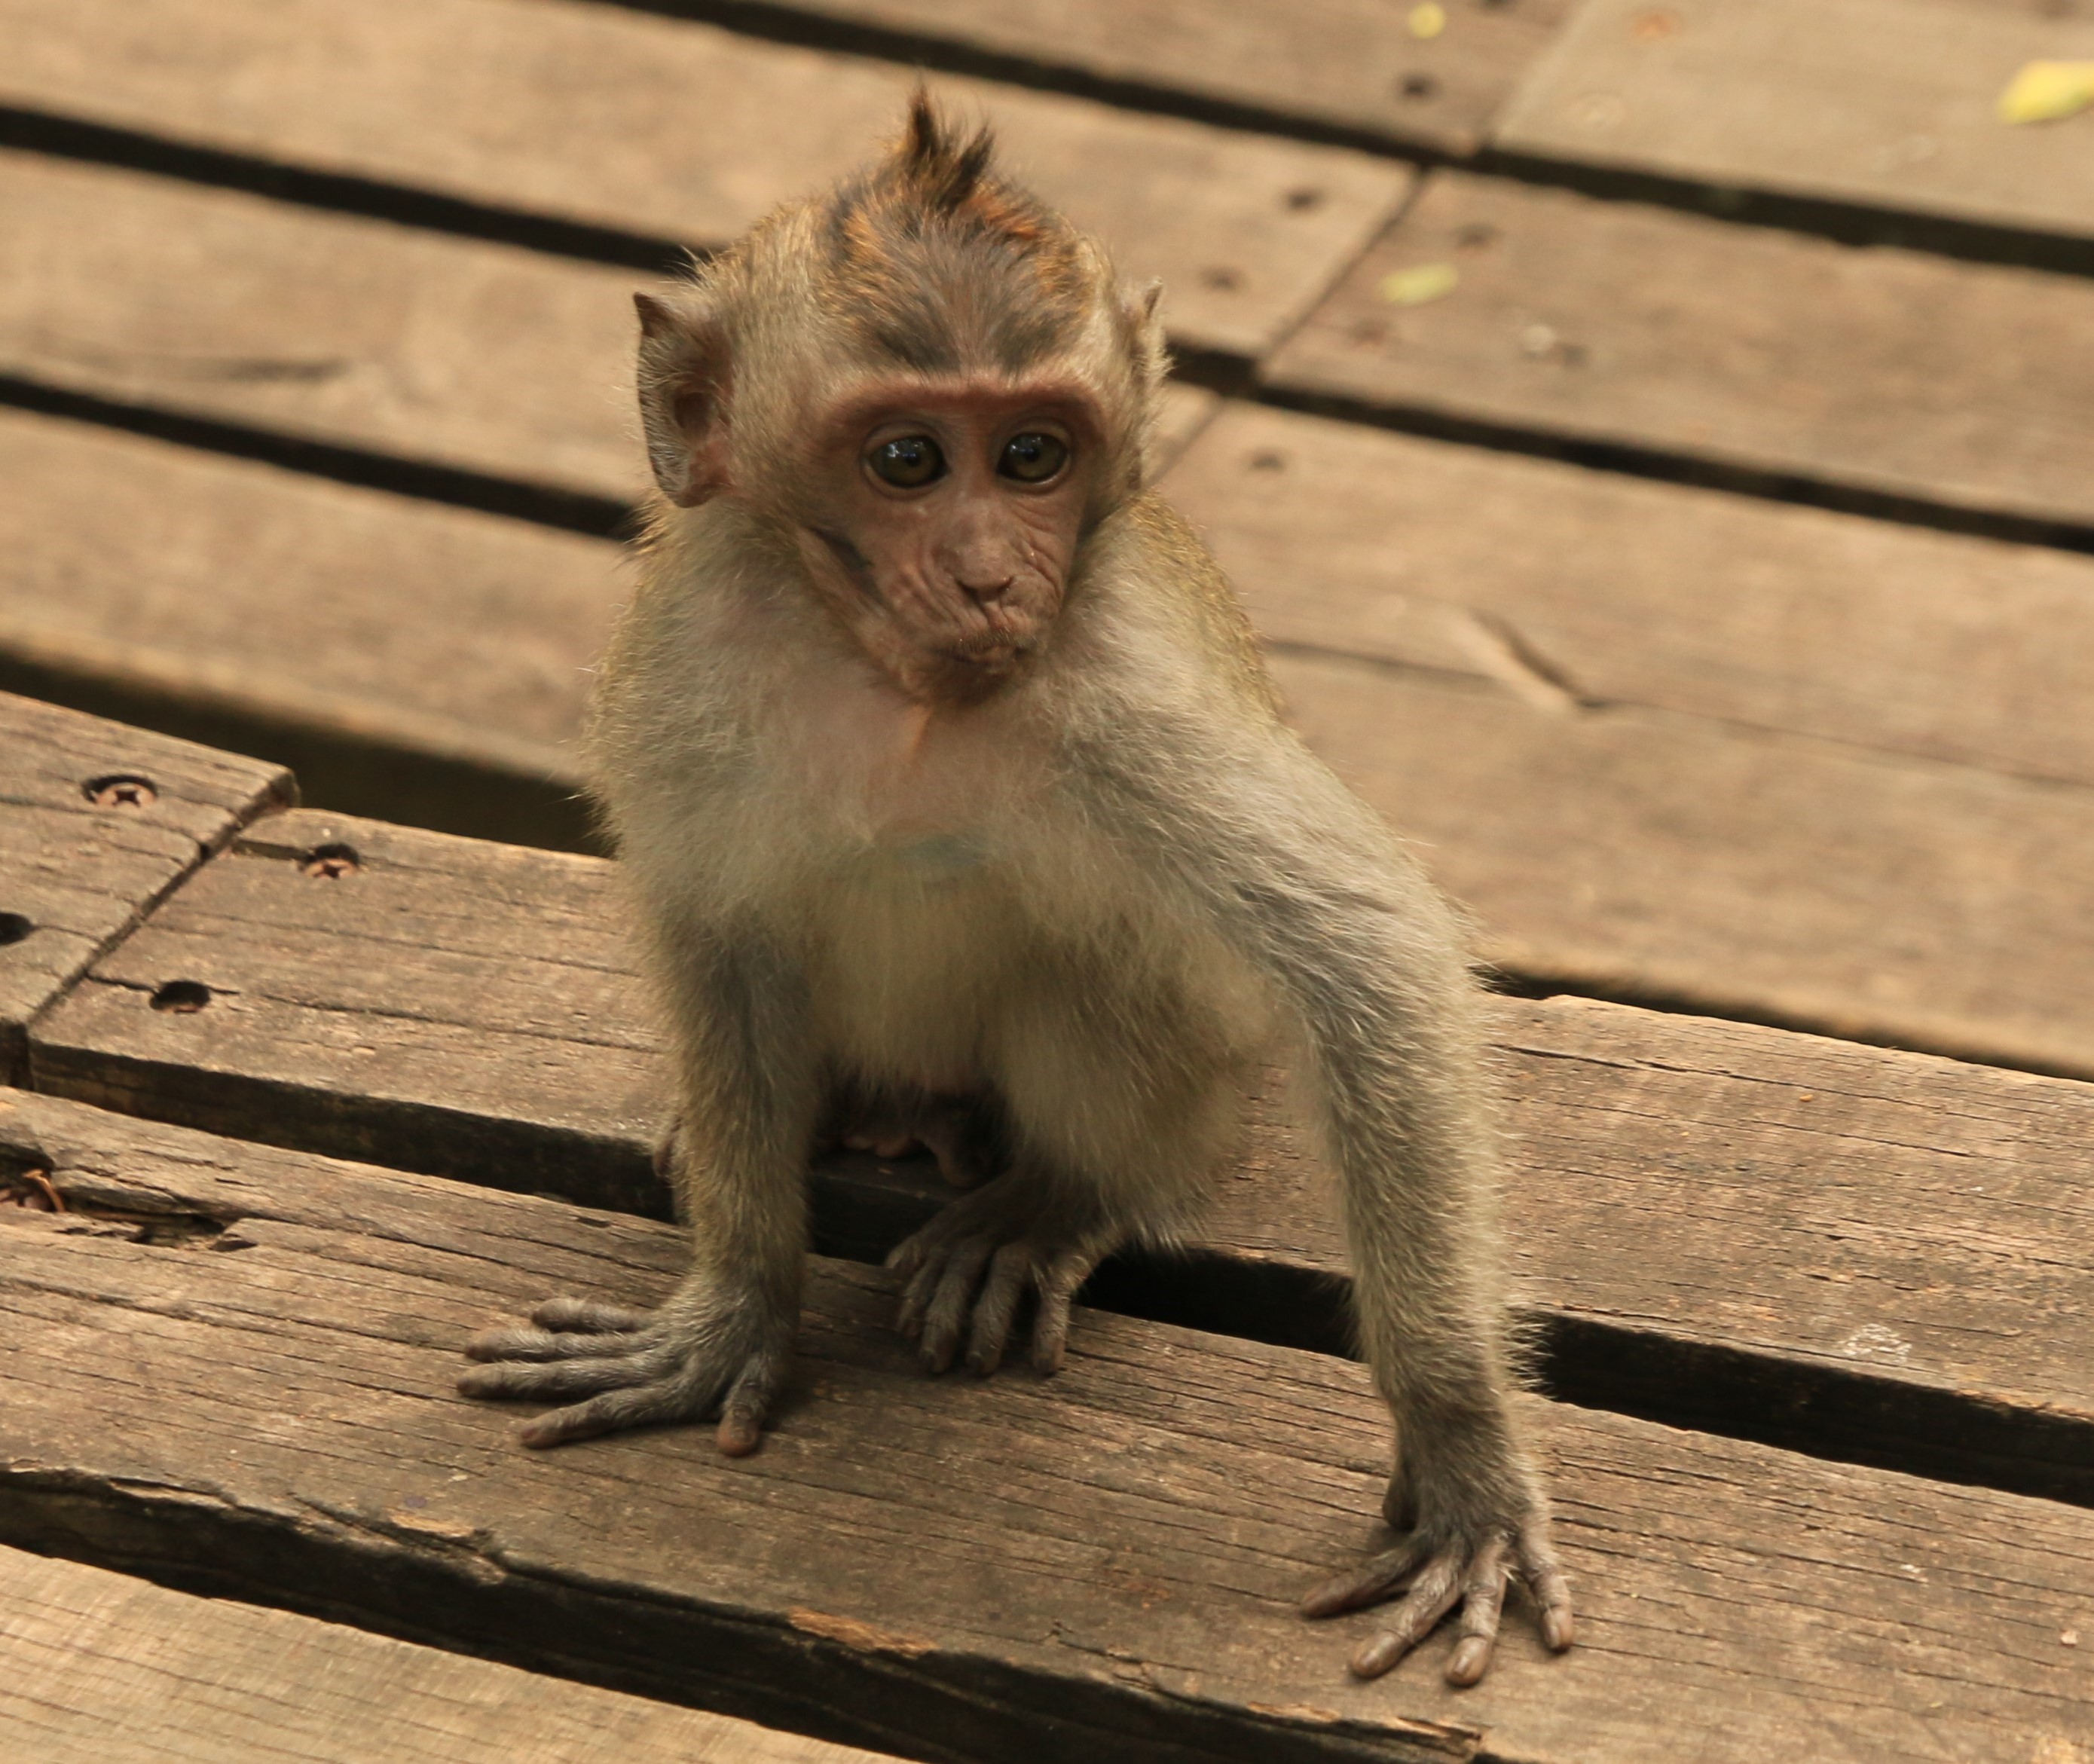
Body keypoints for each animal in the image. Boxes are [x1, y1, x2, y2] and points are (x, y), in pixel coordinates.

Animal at [459, 97, 1573, 1688]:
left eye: (1035, 454)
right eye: (908, 460)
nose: (992, 577)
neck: (903, 690)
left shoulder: (1124, 685)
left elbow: (1366, 961)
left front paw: (1460, 1443)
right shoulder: (684, 662)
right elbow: (717, 934)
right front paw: (734, 1303)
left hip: (1191, 1079)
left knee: (1101, 978)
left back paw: (1049, 1203)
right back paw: (865, 1113)